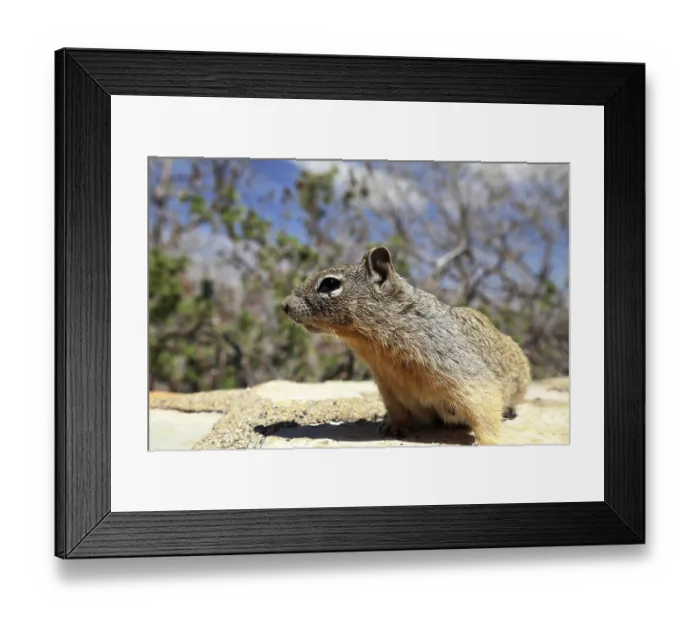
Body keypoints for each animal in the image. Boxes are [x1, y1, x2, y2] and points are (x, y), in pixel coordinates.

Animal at [281, 246, 531, 445]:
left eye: (330, 283)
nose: (284, 305)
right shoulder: (388, 387)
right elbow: (398, 412)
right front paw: (393, 427)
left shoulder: (467, 376)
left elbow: (484, 409)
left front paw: (488, 442)